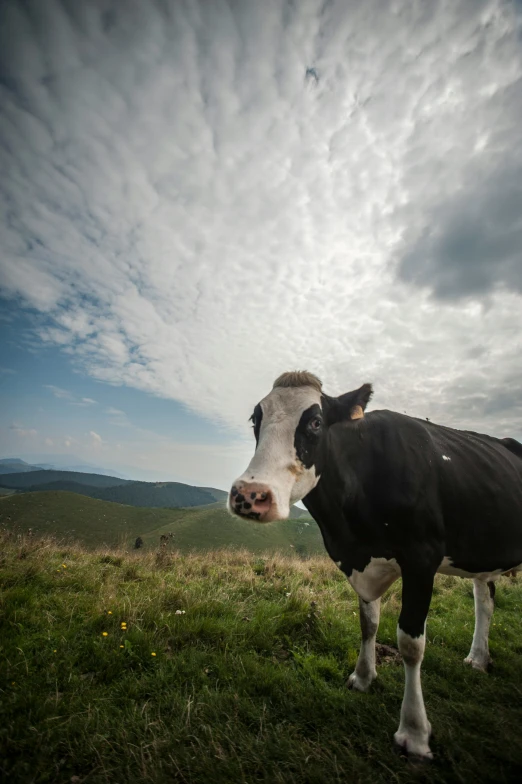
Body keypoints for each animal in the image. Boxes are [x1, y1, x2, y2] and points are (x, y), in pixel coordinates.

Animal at [229, 372, 520, 760]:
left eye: (316, 422)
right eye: (255, 419)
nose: (249, 495)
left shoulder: (422, 558)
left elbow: (410, 644)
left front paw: (414, 732)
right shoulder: (359, 562)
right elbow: (368, 623)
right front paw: (363, 678)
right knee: (484, 601)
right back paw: (477, 659)